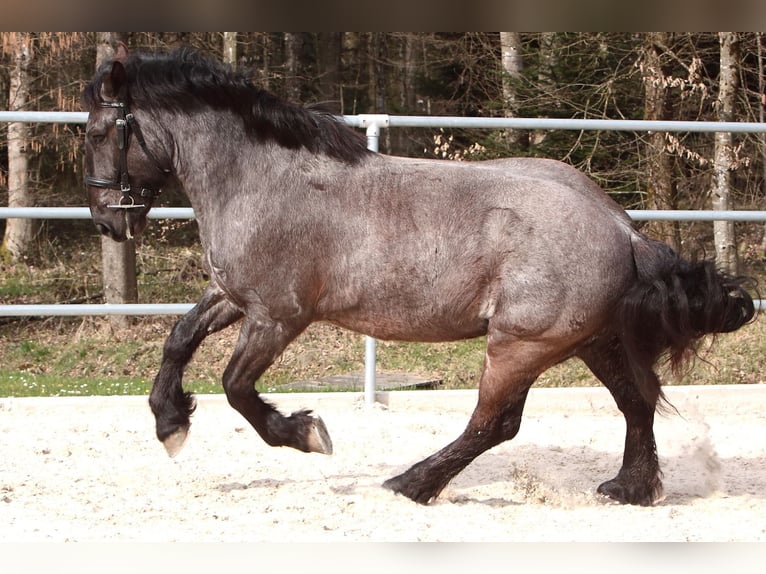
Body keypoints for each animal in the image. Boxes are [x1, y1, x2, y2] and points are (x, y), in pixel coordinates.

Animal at [82, 46, 756, 506]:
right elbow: (178, 340)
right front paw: (170, 423)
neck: (263, 180)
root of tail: (620, 227)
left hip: (521, 346)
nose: (106, 220)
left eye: (96, 131)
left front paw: (305, 432)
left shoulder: (279, 315)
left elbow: (236, 387)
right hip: (594, 339)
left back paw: (412, 483)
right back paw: (629, 488)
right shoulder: (234, 296)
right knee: (636, 403)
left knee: (495, 424)